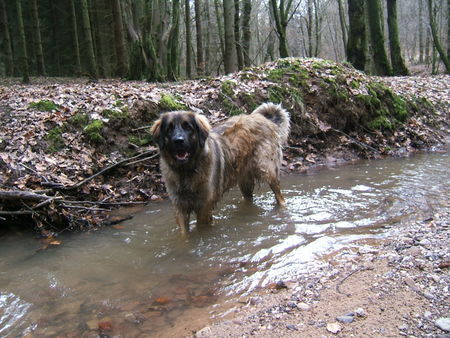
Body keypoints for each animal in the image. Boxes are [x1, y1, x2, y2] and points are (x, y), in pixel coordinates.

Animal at [151, 102, 290, 235]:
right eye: (169, 128)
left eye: (188, 127)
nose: (178, 140)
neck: (186, 171)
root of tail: (263, 119)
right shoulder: (180, 207)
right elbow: (183, 234)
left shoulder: (204, 207)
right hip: (245, 181)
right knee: (249, 199)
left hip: (267, 170)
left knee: (279, 196)